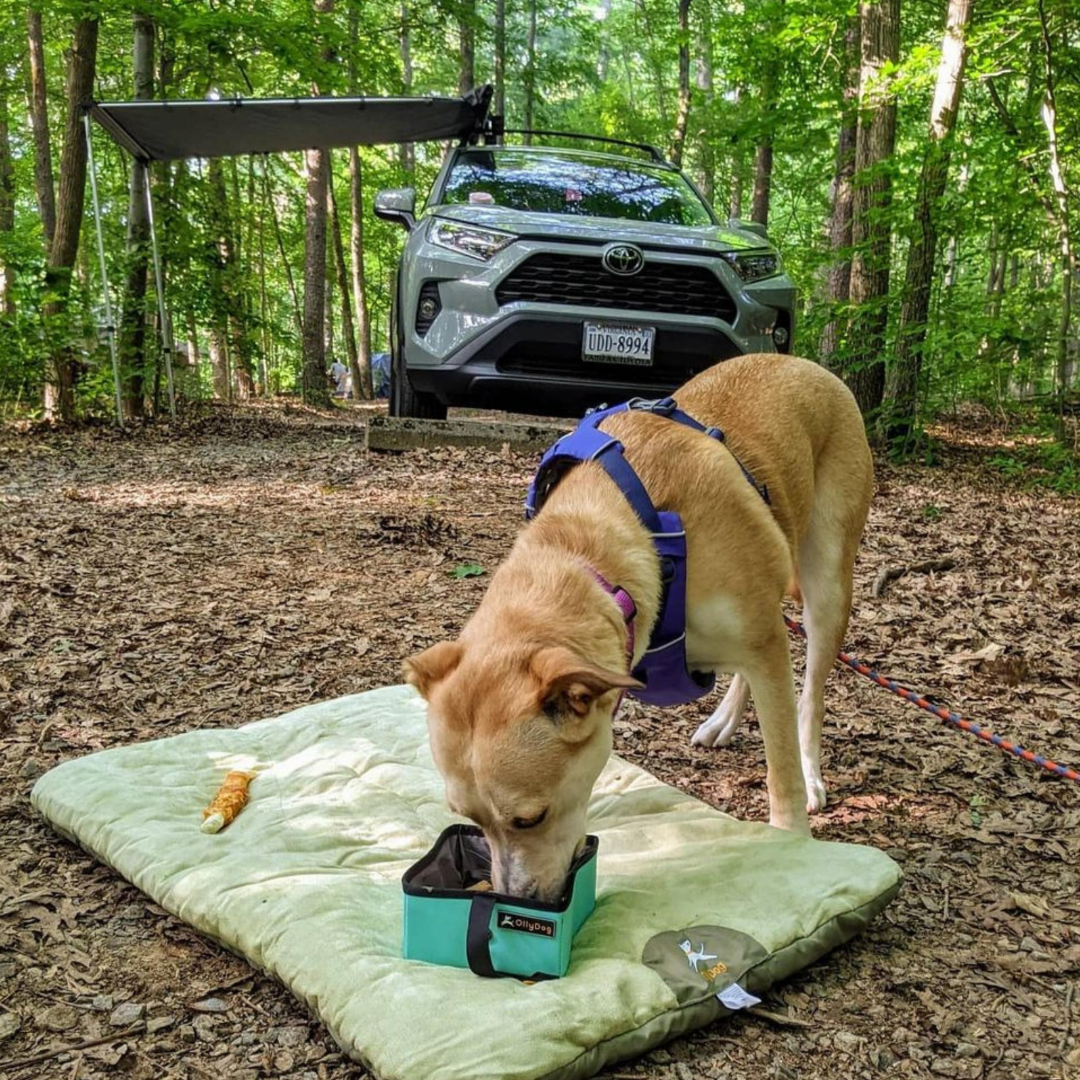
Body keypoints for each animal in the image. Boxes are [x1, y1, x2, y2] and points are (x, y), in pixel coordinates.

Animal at [403, 356, 868, 902]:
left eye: (530, 819)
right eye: (471, 820)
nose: (516, 900)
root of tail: (806, 364)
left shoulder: (765, 644)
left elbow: (782, 770)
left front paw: (794, 843)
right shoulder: (759, 640)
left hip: (827, 584)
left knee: (811, 692)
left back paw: (812, 768)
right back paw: (724, 720)